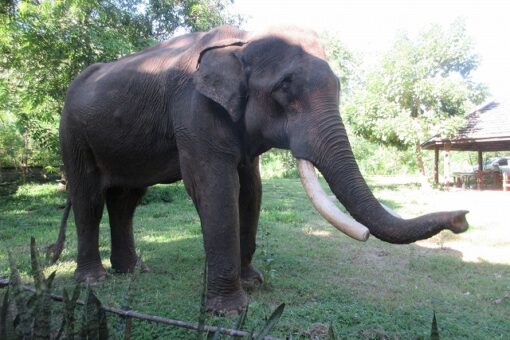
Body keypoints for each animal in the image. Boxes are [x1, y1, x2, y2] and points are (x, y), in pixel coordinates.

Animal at [48, 25, 470, 314]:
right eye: (285, 88)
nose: (463, 218)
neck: (242, 41)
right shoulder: (194, 109)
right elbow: (215, 187)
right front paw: (230, 310)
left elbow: (251, 189)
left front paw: (253, 283)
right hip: (72, 130)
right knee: (88, 197)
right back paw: (94, 280)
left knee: (126, 199)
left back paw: (135, 271)